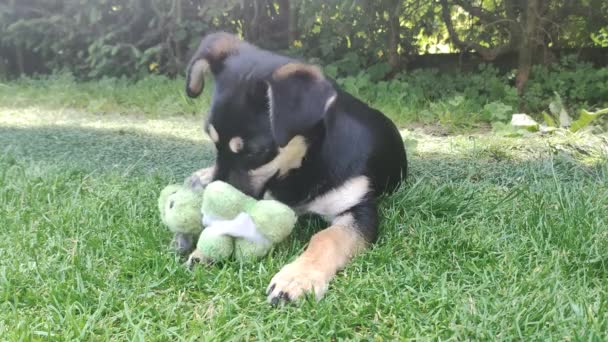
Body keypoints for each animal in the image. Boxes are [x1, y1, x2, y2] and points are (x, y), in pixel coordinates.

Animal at [180, 32, 408, 304]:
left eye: (256, 153)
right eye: (212, 141)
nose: (212, 216)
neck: (305, 166)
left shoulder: (359, 211)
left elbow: (327, 237)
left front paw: (299, 277)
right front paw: (205, 249)